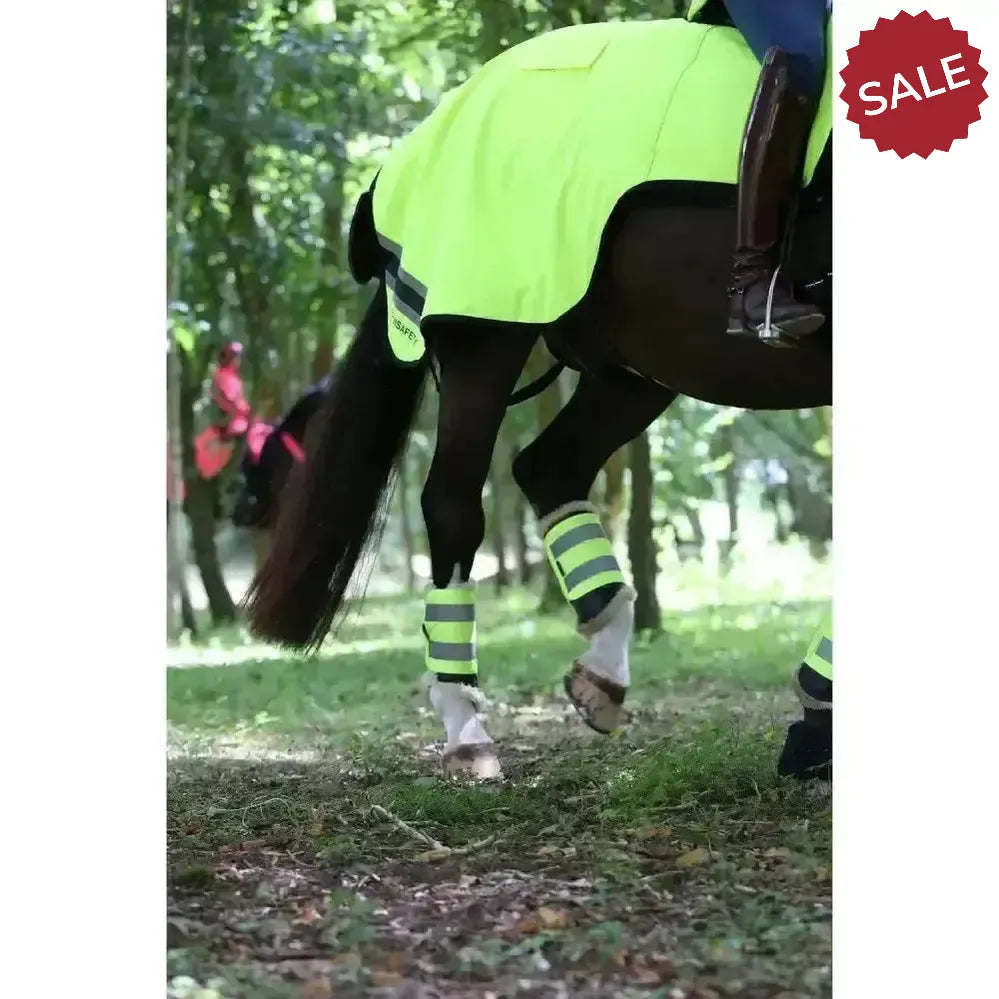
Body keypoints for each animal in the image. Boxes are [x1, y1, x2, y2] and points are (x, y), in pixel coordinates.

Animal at [244, 16, 833, 780]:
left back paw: (603, 671)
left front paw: (815, 718)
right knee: (454, 506)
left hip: (636, 364)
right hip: (486, 335)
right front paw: (816, 718)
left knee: (547, 467)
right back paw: (467, 727)